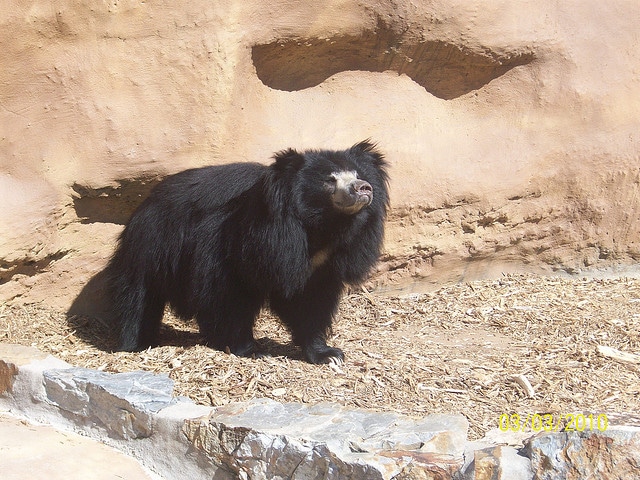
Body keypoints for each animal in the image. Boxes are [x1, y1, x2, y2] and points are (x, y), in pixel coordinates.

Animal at [104, 141, 390, 362]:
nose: (363, 188)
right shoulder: (244, 239)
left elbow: (310, 300)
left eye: (357, 174)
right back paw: (135, 343)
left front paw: (327, 354)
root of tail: (147, 200)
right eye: (329, 181)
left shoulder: (323, 262)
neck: (321, 226)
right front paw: (250, 349)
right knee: (139, 293)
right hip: (152, 242)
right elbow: (229, 293)